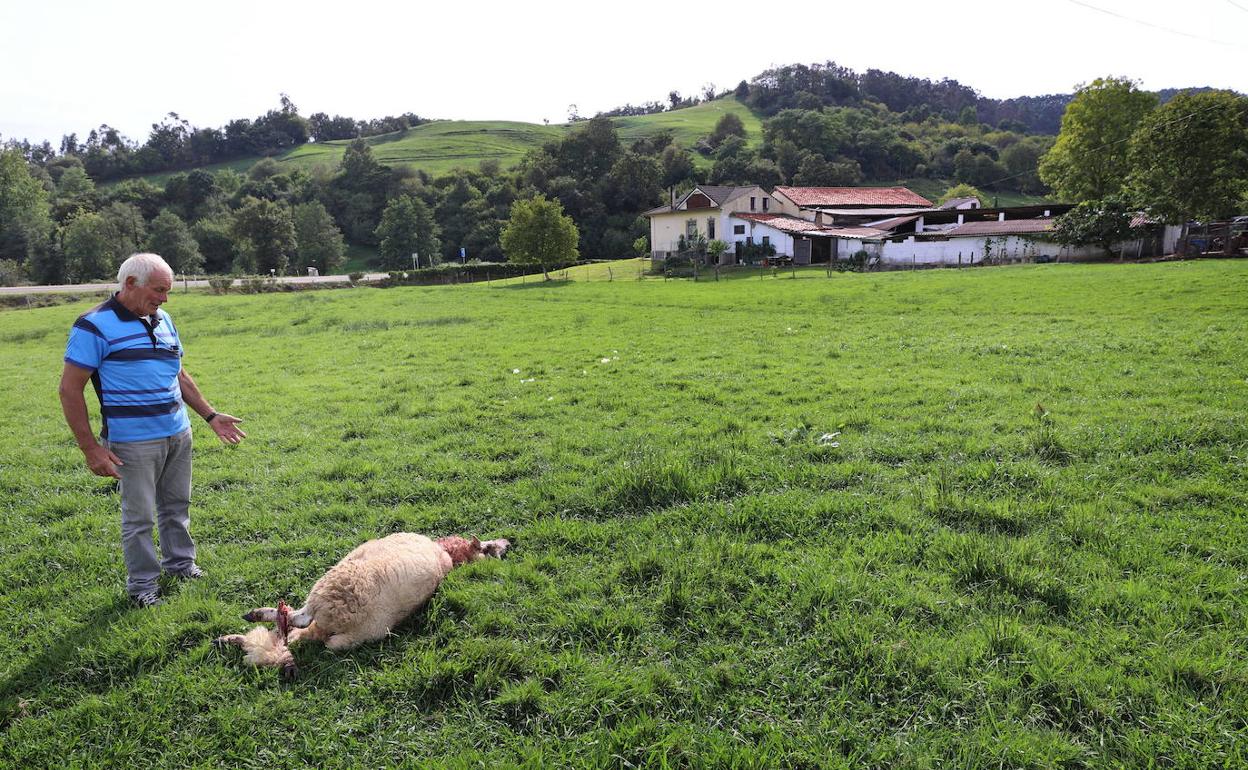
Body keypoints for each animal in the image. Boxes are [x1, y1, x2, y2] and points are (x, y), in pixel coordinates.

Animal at [217, 531, 509, 673]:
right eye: (490, 548)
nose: (509, 542)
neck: (446, 552)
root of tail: (335, 619)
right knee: (293, 628)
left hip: (328, 595)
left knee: (295, 620)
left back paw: (254, 618)